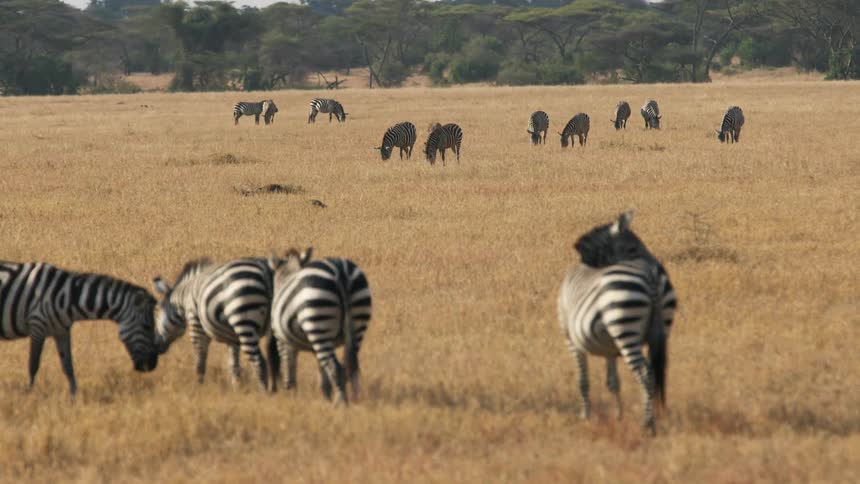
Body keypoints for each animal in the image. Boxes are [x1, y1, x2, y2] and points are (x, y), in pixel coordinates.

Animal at [0, 261, 159, 395]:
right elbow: (33, 364)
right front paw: (30, 393)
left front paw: (74, 396)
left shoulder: (62, 331)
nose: (152, 365)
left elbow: (68, 366)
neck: (67, 297)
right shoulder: (37, 326)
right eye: (147, 327)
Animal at [152, 257, 276, 392]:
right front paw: (238, 389)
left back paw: (263, 393)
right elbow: (234, 365)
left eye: (157, 312)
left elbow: (200, 362)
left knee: (259, 362)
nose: (156, 345)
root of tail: (265, 269)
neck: (185, 297)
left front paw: (198, 388)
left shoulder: (195, 323)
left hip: (244, 319)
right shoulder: (233, 338)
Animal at [267, 248, 372, 405]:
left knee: (336, 368)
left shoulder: (283, 340)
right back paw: (345, 400)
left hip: (318, 322)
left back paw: (340, 403)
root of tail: (340, 272)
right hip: (357, 324)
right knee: (348, 366)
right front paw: (325, 395)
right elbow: (321, 371)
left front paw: (291, 394)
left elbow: (289, 366)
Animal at [557, 210, 677, 434]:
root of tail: (651, 276)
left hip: (624, 327)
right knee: (656, 372)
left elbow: (582, 380)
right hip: (660, 331)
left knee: (645, 372)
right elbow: (613, 381)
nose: (656, 263)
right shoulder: (609, 347)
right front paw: (619, 415)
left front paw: (586, 416)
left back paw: (648, 423)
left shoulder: (571, 339)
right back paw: (653, 415)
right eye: (632, 248)